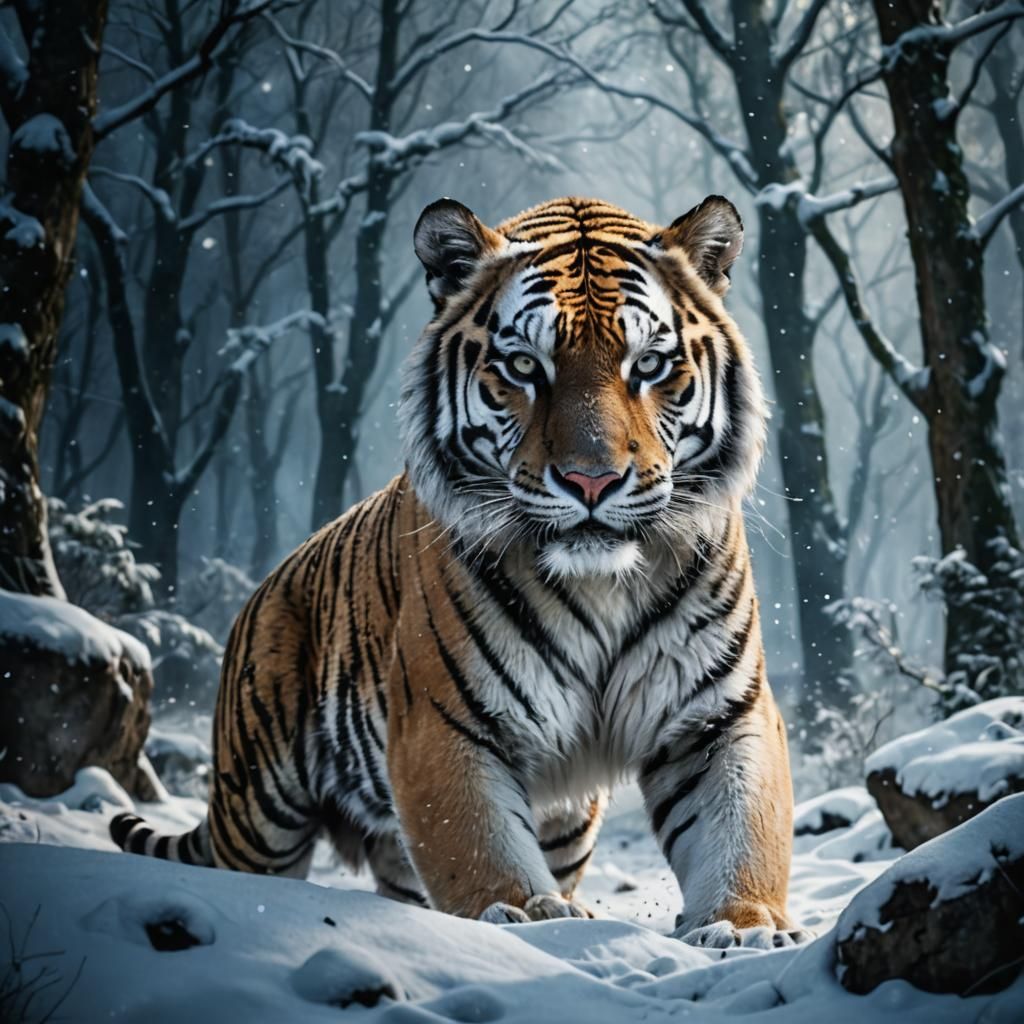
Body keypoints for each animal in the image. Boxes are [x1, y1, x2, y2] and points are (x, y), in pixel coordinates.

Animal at [111, 195, 803, 948]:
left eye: (648, 363)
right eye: (525, 366)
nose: (591, 481)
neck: (601, 584)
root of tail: (262, 590)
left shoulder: (717, 715)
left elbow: (742, 826)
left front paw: (744, 925)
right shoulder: (446, 722)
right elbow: (478, 841)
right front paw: (523, 916)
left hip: (552, 825)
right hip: (260, 810)